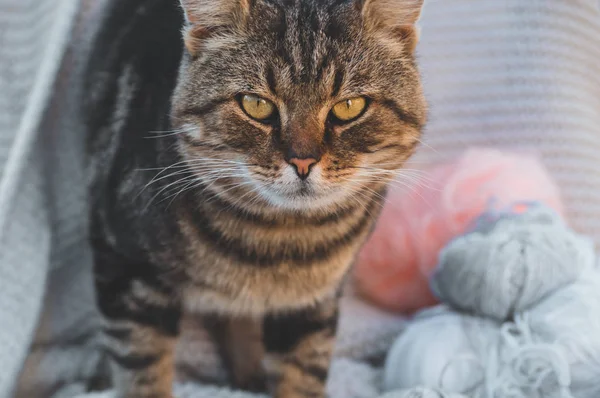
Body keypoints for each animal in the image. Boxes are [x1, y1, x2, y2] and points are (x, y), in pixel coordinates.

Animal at [84, 0, 428, 396]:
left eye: (350, 106)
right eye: (255, 104)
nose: (303, 161)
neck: (276, 243)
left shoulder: (312, 304)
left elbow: (301, 373)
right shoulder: (126, 267)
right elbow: (141, 370)